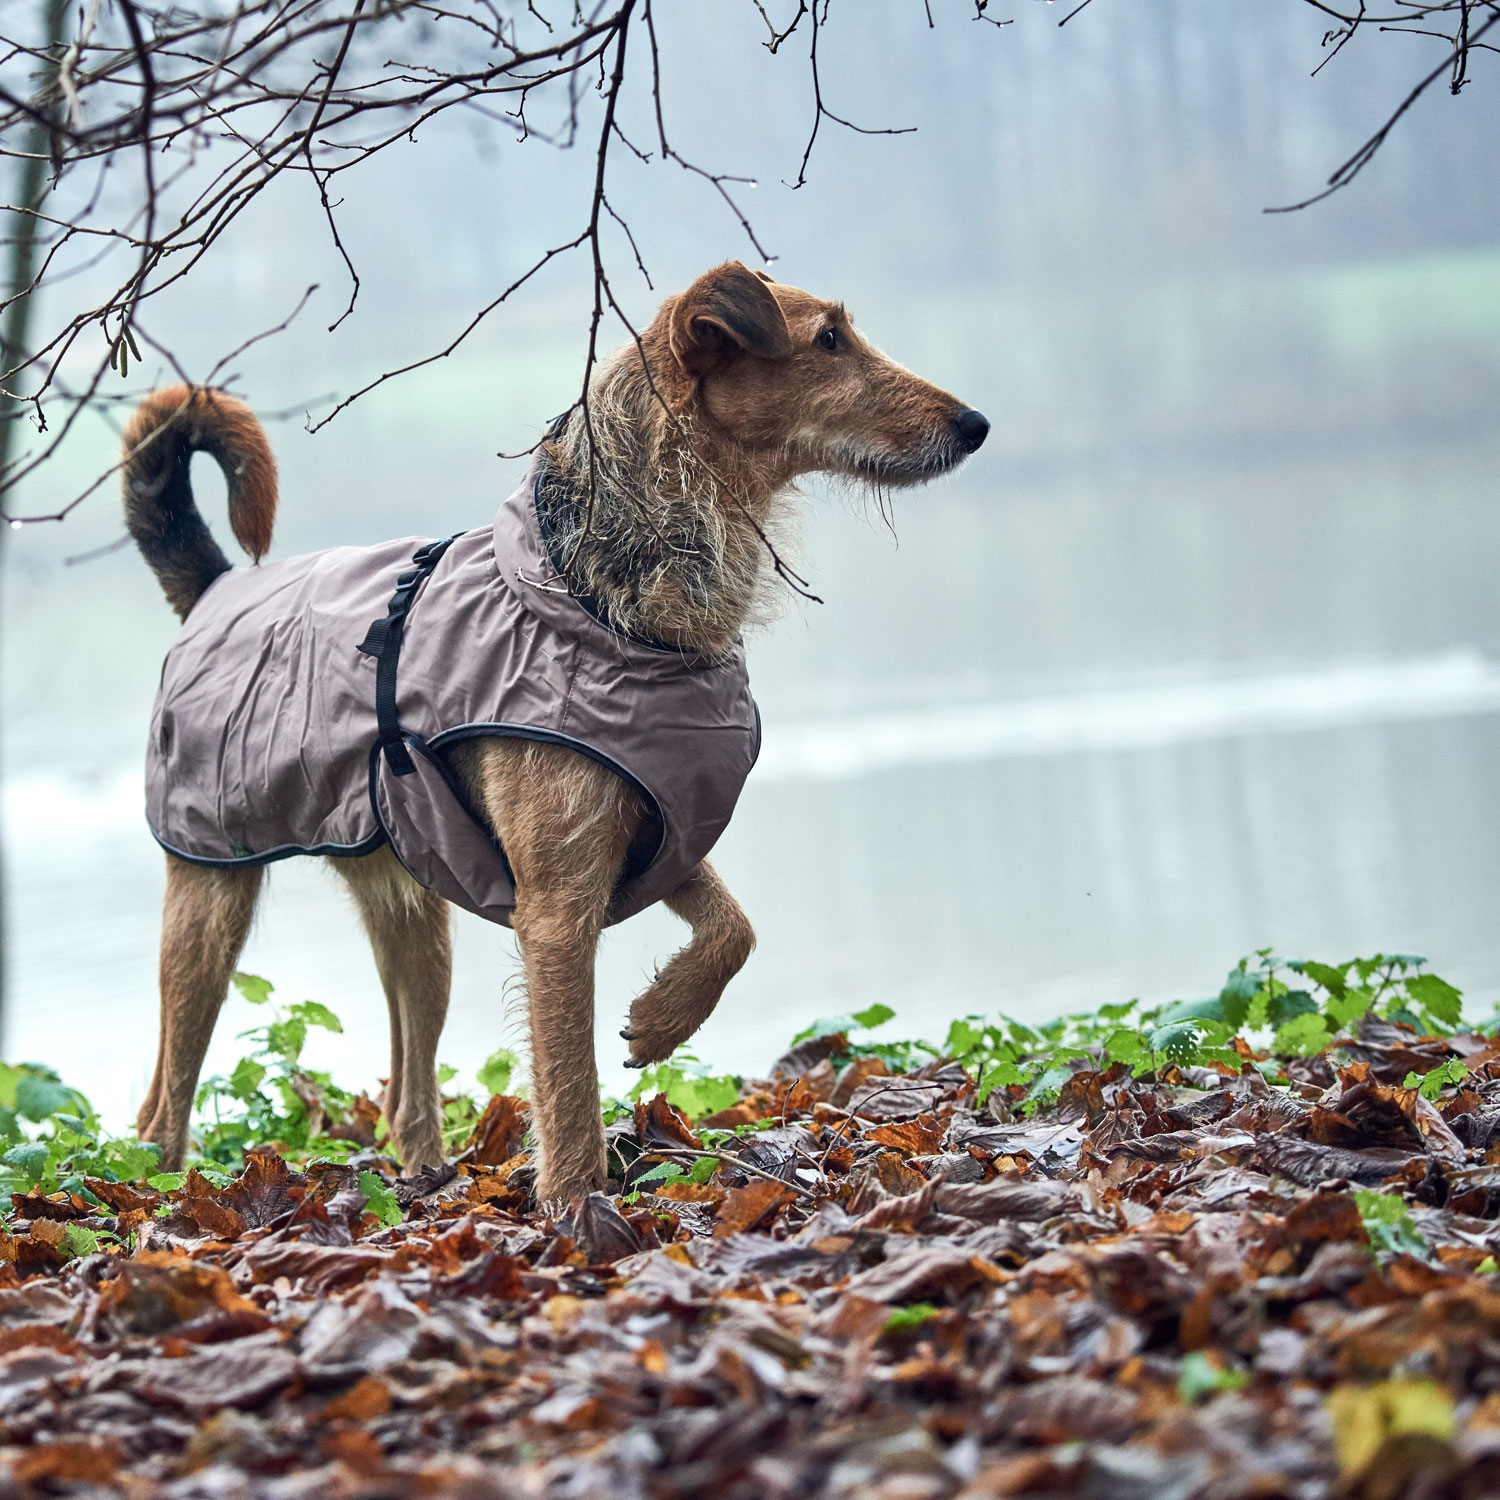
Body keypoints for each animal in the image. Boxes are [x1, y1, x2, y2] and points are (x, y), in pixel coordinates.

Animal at [123, 261, 990, 1206]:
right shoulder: (558, 902)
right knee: (161, 1105)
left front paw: (661, 1019)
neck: (604, 603)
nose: (974, 424)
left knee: (407, 1090)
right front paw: (578, 1212)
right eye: (828, 339)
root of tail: (215, 589)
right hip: (208, 902)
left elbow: (736, 931)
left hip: (412, 915)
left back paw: (426, 1178)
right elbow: (569, 1084)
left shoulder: (651, 826)